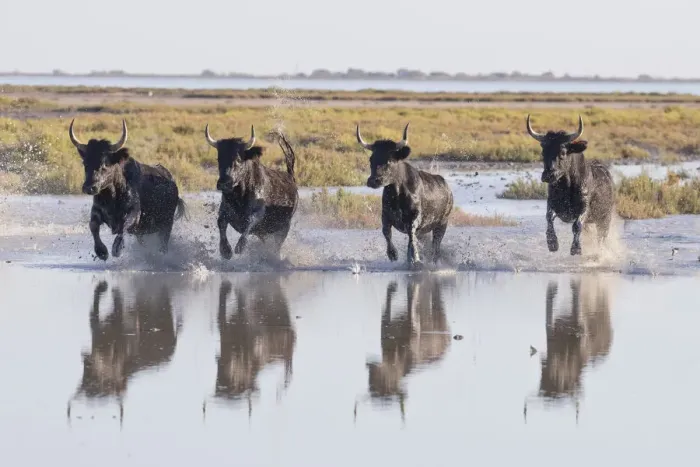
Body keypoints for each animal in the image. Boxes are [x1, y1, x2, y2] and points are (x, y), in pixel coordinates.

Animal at [69, 119, 187, 261]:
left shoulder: (134, 214)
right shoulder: (96, 211)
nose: (89, 187)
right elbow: (93, 225)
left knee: (163, 244)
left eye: (105, 164)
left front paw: (117, 248)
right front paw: (101, 251)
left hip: (166, 225)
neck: (111, 197)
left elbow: (123, 226)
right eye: (85, 163)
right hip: (144, 233)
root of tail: (172, 183)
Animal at [204, 125, 298, 261]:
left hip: (283, 228)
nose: (224, 183)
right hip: (265, 234)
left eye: (238, 159)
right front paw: (225, 250)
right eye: (219, 158)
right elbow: (220, 222)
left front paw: (239, 247)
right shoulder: (224, 211)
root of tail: (291, 177)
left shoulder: (258, 213)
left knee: (276, 247)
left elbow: (250, 222)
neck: (239, 197)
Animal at [356, 123, 453, 266]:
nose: (373, 181)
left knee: (436, 246)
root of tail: (447, 187)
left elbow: (411, 237)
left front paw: (416, 258)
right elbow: (386, 232)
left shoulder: (414, 218)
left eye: (389, 160)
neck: (397, 194)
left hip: (442, 224)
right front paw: (393, 254)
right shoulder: (385, 215)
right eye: (371, 159)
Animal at [361, 276, 452, 420]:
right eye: (372, 383)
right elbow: (387, 305)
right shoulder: (385, 329)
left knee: (436, 301)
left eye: (388, 383)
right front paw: (392, 288)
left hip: (438, 315)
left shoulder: (413, 328)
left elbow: (412, 303)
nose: (371, 367)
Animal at [526, 115, 615, 256]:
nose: (548, 175)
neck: (566, 187)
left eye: (562, 152)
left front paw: (576, 248)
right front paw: (552, 243)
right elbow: (549, 217)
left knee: (601, 237)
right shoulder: (552, 203)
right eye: (543, 152)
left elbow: (577, 225)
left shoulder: (584, 207)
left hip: (605, 219)